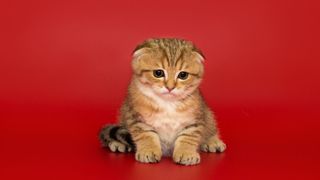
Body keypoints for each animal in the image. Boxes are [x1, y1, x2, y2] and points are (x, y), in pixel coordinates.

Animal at [99, 38, 226, 166]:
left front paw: (186, 153)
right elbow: (146, 134)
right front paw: (149, 150)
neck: (167, 103)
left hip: (207, 112)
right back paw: (118, 143)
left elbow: (189, 135)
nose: (170, 87)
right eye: (158, 73)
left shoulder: (195, 117)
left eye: (183, 75)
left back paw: (212, 141)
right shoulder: (135, 116)